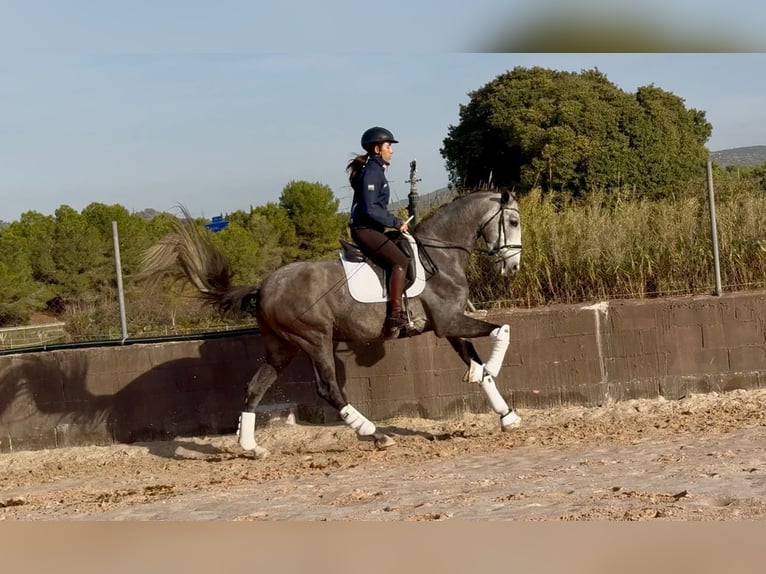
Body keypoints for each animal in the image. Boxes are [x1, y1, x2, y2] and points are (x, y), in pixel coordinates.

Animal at [140, 189, 522, 456]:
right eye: (514, 222)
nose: (513, 267)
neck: (439, 255)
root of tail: (264, 286)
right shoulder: (449, 322)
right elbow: (502, 331)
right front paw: (491, 370)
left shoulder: (449, 326)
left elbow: (477, 361)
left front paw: (507, 415)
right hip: (316, 339)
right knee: (328, 389)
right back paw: (375, 434)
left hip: (282, 348)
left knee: (254, 388)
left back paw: (251, 448)